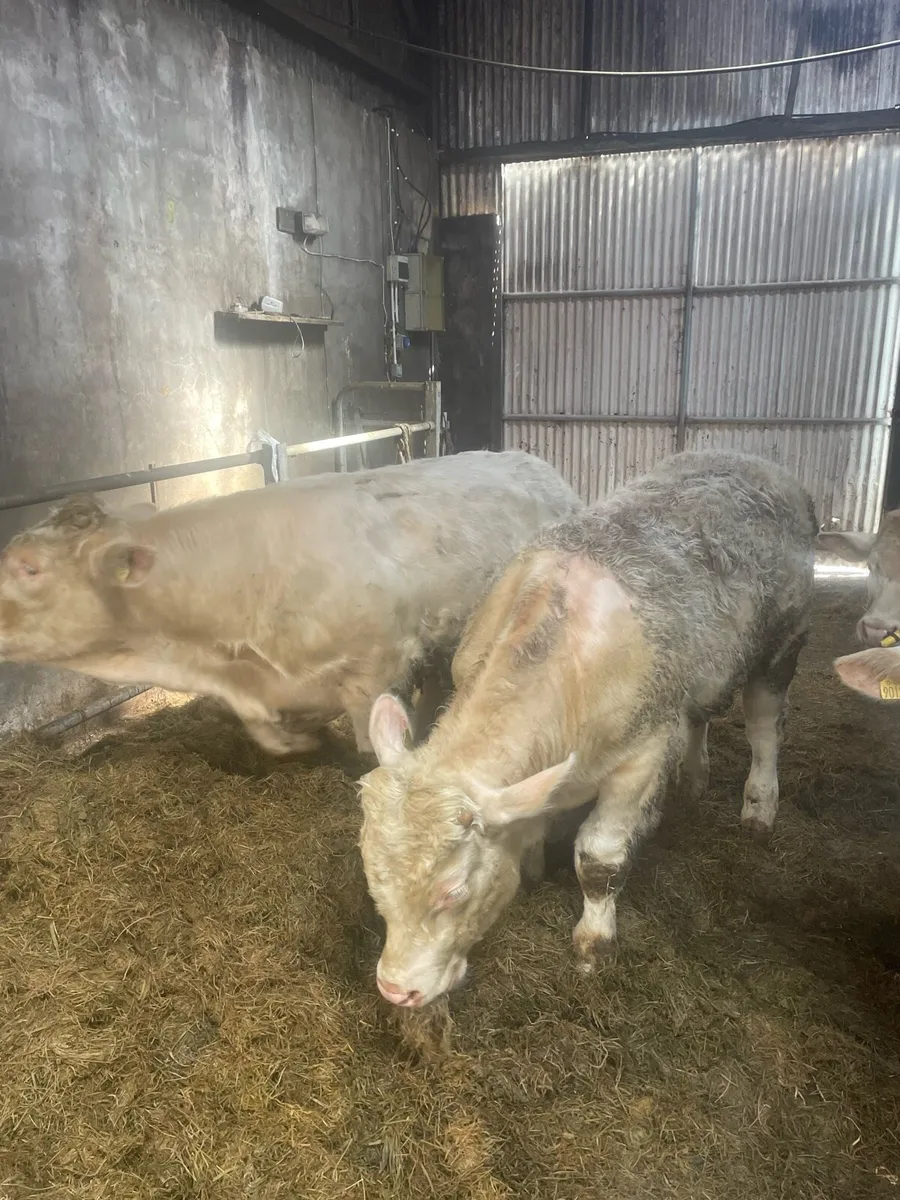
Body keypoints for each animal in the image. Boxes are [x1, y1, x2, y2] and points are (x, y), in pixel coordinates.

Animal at [0, 450, 581, 754]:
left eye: (29, 567)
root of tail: (532, 459)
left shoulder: (373, 668)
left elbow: (369, 747)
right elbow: (267, 736)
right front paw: (302, 739)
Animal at [359, 451, 817, 1008]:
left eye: (454, 892)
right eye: (372, 878)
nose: (394, 988)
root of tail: (753, 460)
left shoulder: (641, 755)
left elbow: (600, 859)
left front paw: (594, 942)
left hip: (783, 643)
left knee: (764, 726)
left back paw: (759, 805)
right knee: (700, 713)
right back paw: (694, 777)